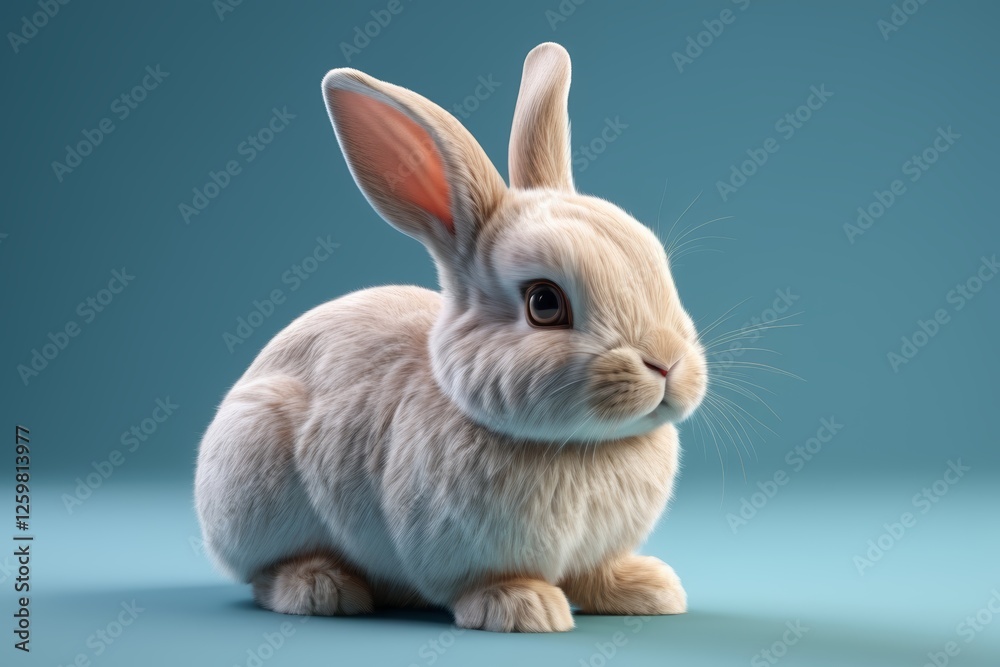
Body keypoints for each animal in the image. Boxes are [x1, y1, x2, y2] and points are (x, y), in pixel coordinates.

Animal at [194, 42, 708, 633]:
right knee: (263, 574)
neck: (578, 446)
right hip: (254, 471)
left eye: (657, 267)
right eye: (544, 303)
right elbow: (483, 581)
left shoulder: (595, 552)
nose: (667, 364)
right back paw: (322, 587)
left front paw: (649, 589)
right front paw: (522, 607)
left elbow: (597, 573)